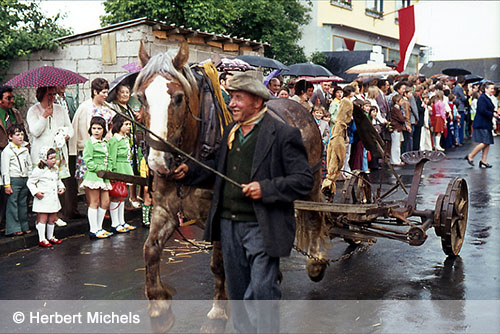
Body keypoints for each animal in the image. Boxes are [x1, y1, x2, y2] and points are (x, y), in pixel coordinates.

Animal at [135, 41, 326, 332]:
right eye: (142, 98)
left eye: (178, 98)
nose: (158, 162)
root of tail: (298, 107)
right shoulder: (164, 209)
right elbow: (150, 250)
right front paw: (160, 309)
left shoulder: (219, 215)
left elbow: (218, 264)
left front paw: (217, 313)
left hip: (311, 182)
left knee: (313, 216)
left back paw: (316, 263)